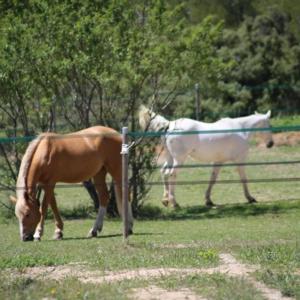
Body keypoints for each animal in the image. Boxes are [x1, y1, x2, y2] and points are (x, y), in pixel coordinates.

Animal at [139, 106, 274, 209]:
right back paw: (174, 203)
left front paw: (208, 200)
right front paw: (250, 198)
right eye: (269, 125)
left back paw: (166, 200)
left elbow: (212, 180)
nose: (270, 144)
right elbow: (244, 179)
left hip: (170, 158)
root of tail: (169, 125)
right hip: (179, 159)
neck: (241, 129)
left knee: (164, 172)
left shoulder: (218, 162)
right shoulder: (240, 160)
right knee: (171, 174)